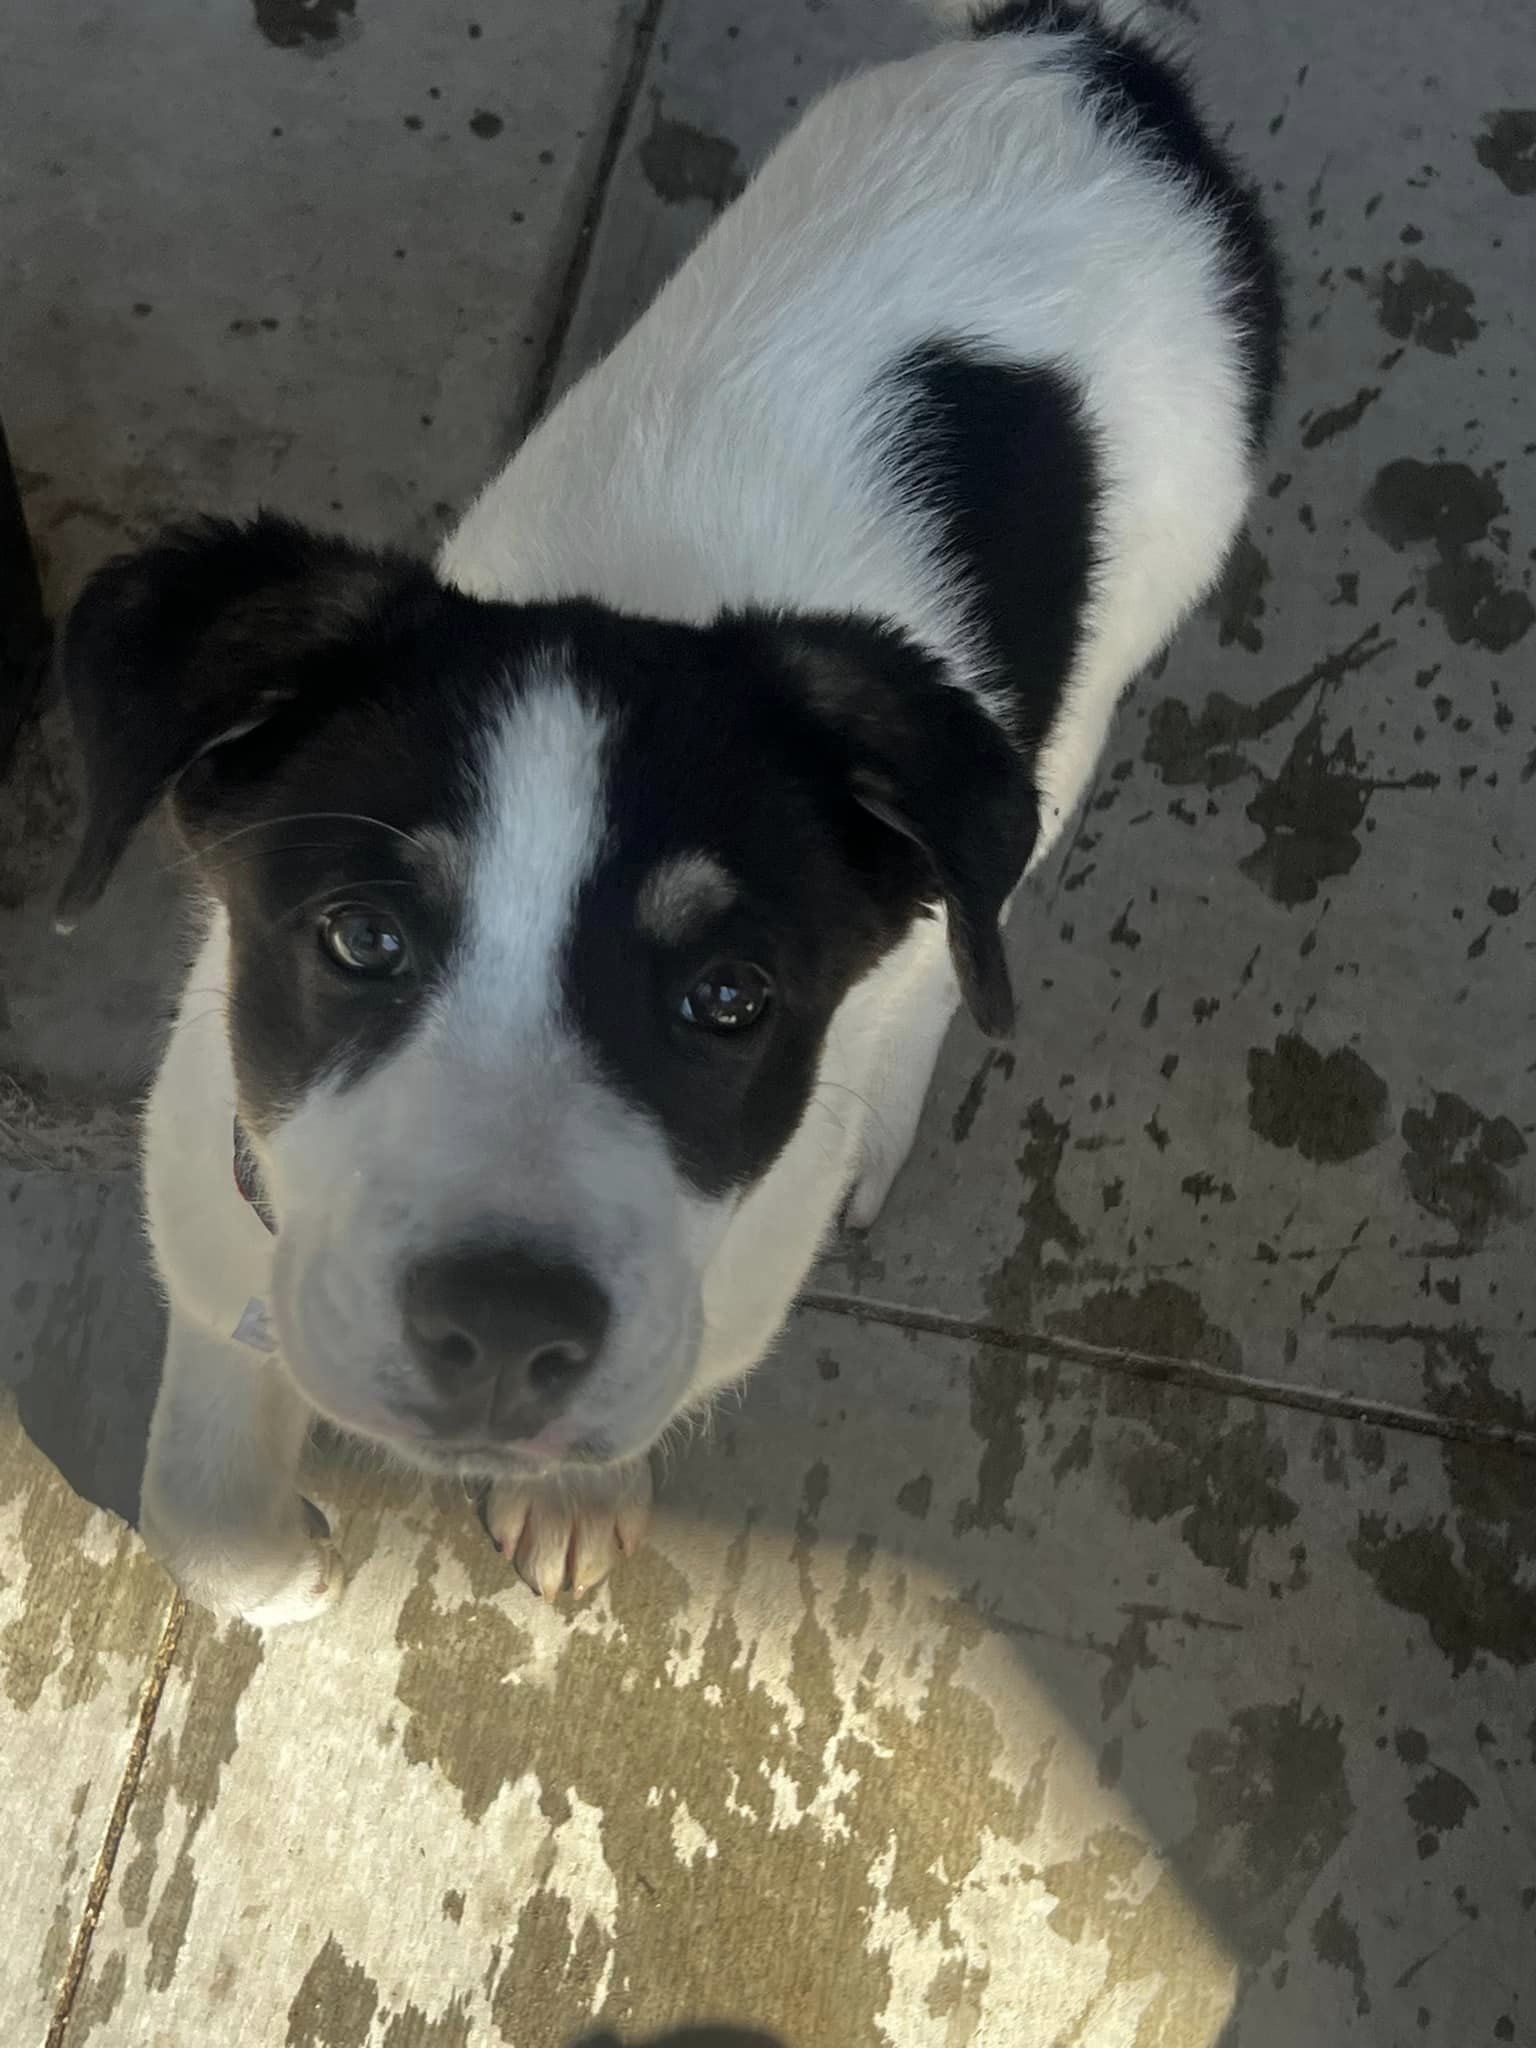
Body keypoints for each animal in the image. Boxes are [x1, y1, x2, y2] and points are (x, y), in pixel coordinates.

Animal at [57, 4, 1286, 1630]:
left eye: (730, 998)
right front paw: (269, 1554)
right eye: (362, 938)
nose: (507, 1333)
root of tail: (1100, 62)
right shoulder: (212, 1183)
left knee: (979, 917)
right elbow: (201, 1494)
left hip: (1105, 661)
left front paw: (576, 1492)